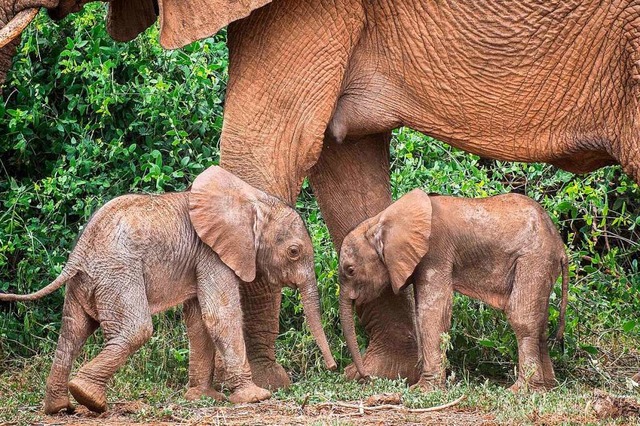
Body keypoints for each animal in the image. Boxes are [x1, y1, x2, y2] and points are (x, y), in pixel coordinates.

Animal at [0, 166, 336, 412]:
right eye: (294, 252)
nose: (333, 367)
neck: (251, 200)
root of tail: (79, 252)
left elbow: (199, 321)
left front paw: (203, 398)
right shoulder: (212, 254)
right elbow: (220, 315)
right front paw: (256, 397)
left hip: (88, 280)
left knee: (72, 330)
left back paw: (60, 407)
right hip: (118, 273)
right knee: (135, 329)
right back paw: (89, 398)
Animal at [338, 190, 568, 392]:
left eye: (350, 270)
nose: (365, 377)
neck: (380, 220)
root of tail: (560, 246)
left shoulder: (435, 252)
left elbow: (431, 314)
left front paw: (423, 390)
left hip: (534, 258)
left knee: (522, 318)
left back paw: (521, 391)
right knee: (541, 323)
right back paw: (546, 388)